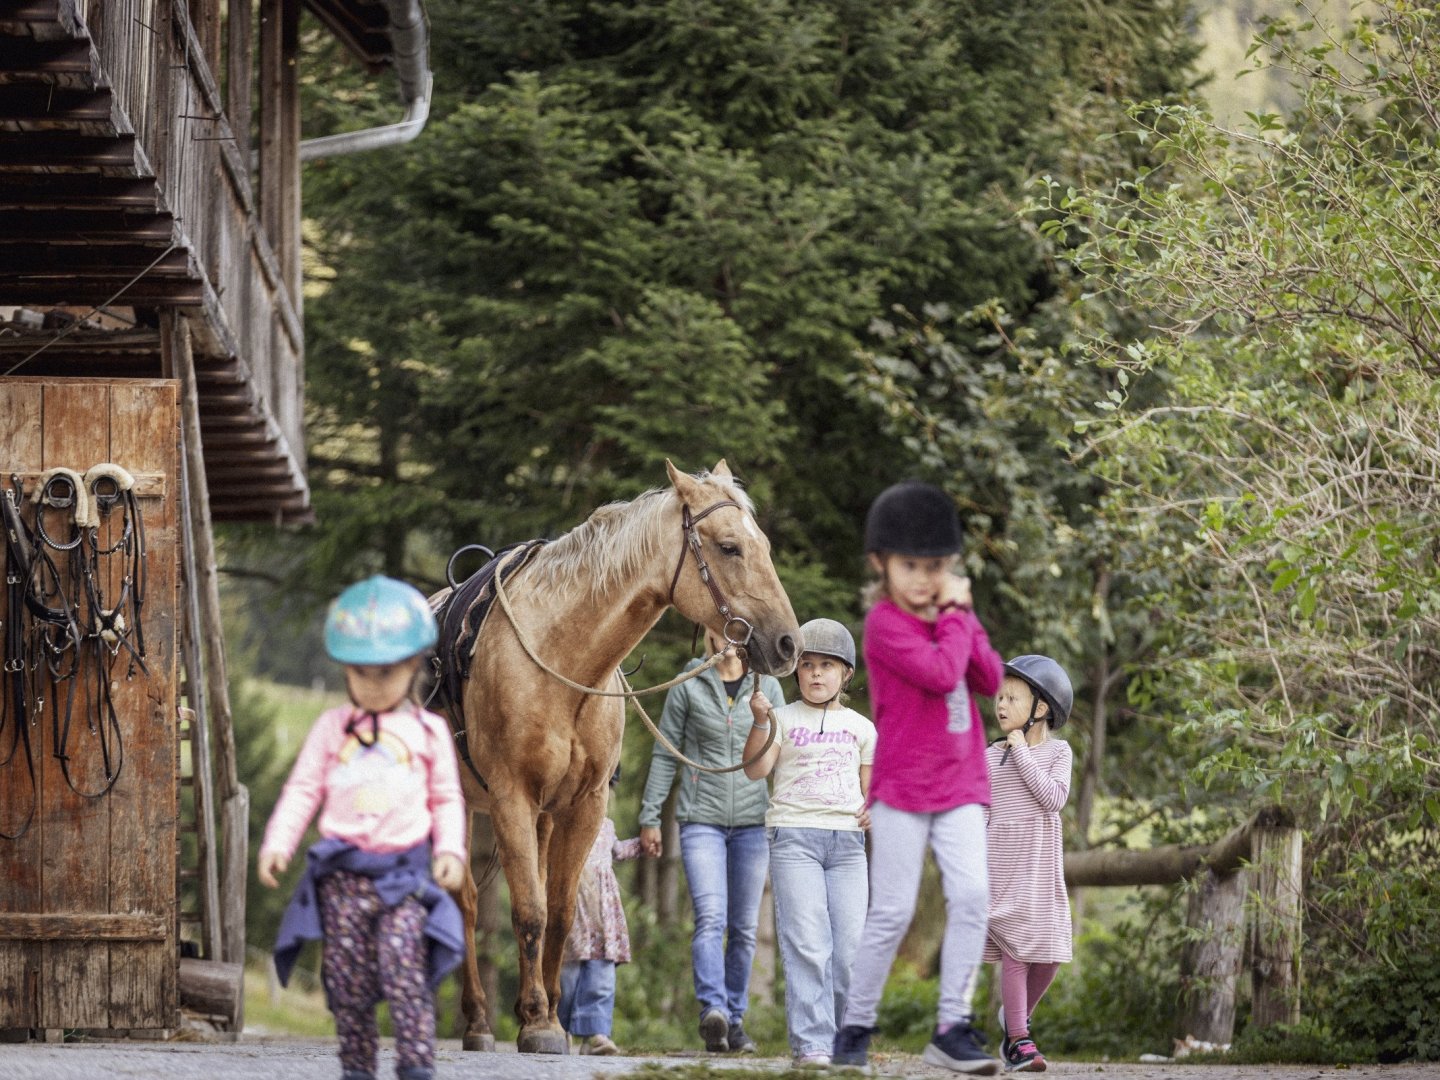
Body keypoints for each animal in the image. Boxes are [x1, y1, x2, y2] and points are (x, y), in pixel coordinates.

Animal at [437, 457, 800, 1059]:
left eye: (765, 544)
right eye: (729, 547)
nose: (789, 645)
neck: (563, 661)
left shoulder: (582, 805)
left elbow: (559, 913)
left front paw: (547, 1017)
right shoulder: (512, 797)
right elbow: (530, 911)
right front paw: (536, 1025)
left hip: (540, 819)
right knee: (462, 899)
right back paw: (477, 1022)